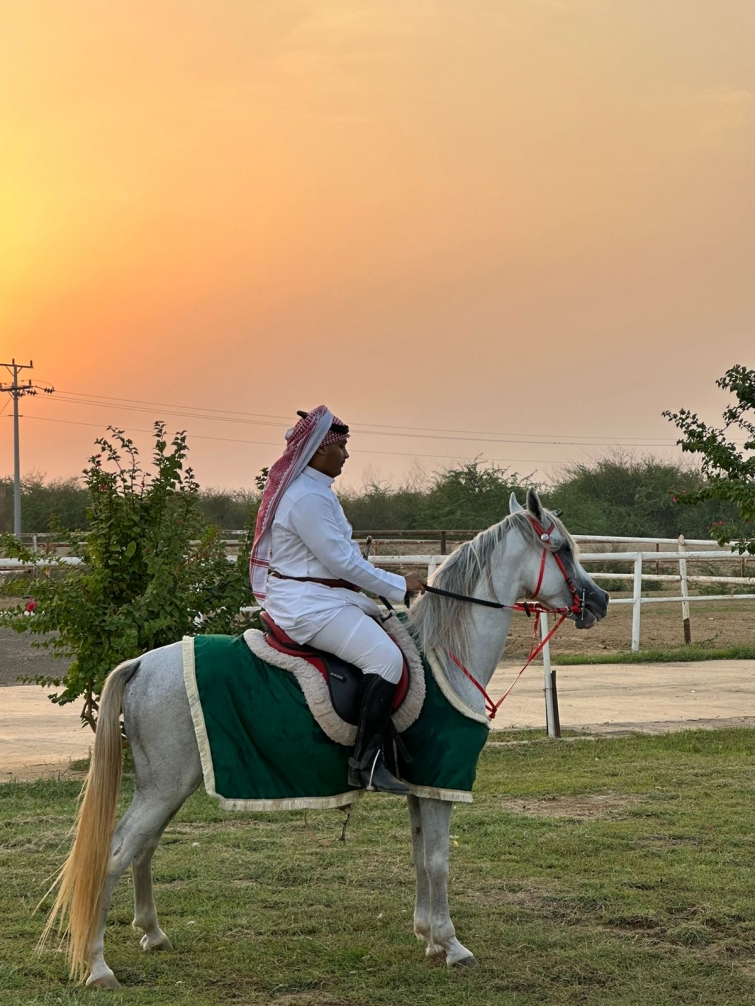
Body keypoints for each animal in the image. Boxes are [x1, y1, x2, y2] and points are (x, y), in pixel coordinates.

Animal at [40, 488, 608, 989]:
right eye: (562, 549)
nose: (600, 601)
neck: (445, 654)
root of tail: (140, 663)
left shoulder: (421, 787)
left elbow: (420, 858)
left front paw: (428, 937)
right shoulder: (440, 783)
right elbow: (439, 862)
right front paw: (452, 944)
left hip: (169, 786)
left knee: (145, 847)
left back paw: (152, 934)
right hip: (163, 787)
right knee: (115, 855)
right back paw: (97, 967)